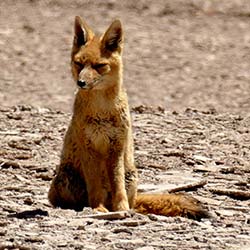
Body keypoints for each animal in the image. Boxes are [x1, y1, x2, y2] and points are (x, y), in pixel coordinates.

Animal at [47, 16, 208, 220]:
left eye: (99, 66)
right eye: (79, 64)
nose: (81, 83)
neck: (102, 111)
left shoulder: (116, 146)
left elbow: (118, 186)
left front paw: (121, 208)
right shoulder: (89, 147)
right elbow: (95, 185)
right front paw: (98, 208)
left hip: (130, 175)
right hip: (66, 179)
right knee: (71, 200)